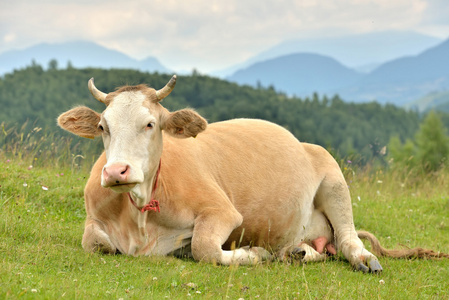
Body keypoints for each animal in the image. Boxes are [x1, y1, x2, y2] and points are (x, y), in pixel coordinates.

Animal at [57, 75, 446, 272]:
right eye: (104, 127)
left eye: (151, 124)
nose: (116, 171)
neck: (139, 217)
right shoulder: (93, 221)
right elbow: (95, 243)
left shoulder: (222, 211)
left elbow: (203, 248)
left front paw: (253, 254)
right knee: (323, 248)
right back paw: (297, 253)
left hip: (335, 180)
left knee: (350, 240)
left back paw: (363, 260)